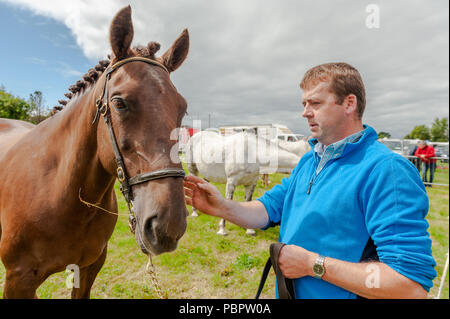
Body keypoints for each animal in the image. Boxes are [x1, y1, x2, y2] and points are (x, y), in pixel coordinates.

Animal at [0, 5, 189, 300]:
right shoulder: (18, 282)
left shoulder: (89, 268)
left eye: (182, 108)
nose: (169, 225)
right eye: (119, 103)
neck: (64, 192)